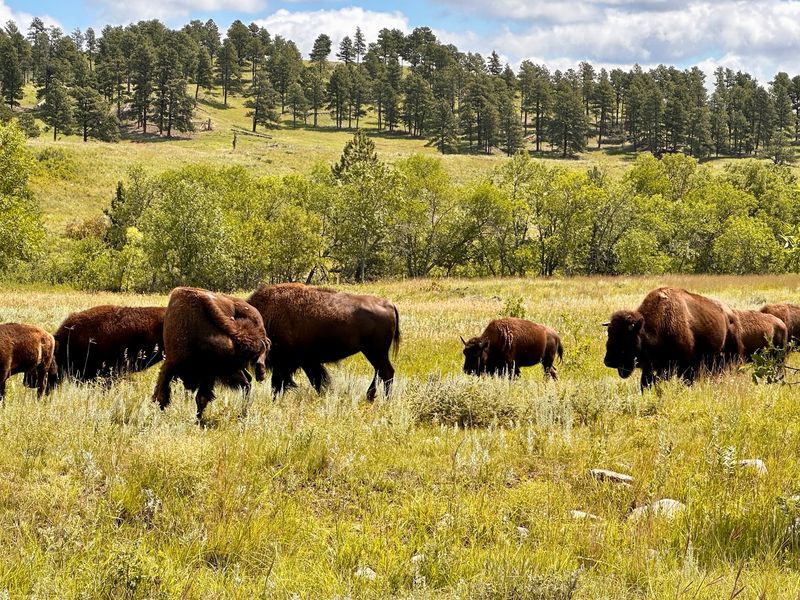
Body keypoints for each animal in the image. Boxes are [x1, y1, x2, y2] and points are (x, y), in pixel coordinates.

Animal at [153, 287, 270, 420]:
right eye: (231, 359)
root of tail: (255, 311)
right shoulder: (171, 364)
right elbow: (162, 395)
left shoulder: (208, 373)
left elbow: (201, 398)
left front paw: (198, 420)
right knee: (248, 383)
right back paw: (243, 411)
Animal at [246, 283, 400, 401]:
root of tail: (389, 304)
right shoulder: (305, 362)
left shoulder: (288, 363)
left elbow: (280, 384)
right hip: (374, 353)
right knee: (381, 372)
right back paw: (371, 396)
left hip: (375, 352)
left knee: (386, 372)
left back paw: (384, 400)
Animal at [603, 287, 741, 389]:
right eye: (609, 333)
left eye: (626, 337)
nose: (608, 361)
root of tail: (730, 313)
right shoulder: (652, 368)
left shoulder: (685, 366)